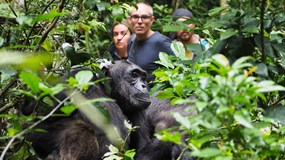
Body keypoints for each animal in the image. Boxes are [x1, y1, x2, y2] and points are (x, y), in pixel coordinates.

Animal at [24, 60, 152, 160]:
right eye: (134, 74)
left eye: (143, 77)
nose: (144, 85)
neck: (109, 93)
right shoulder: (75, 75)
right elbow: (32, 115)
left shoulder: (138, 112)